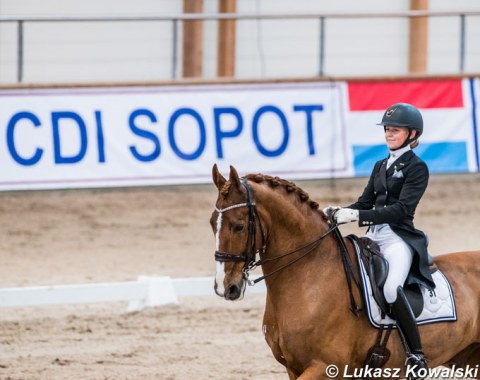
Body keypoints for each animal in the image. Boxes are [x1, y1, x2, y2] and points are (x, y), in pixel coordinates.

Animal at [211, 166, 480, 380]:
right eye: (213, 222)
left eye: (238, 226)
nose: (225, 287)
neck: (310, 275)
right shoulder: (293, 367)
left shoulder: (326, 366)